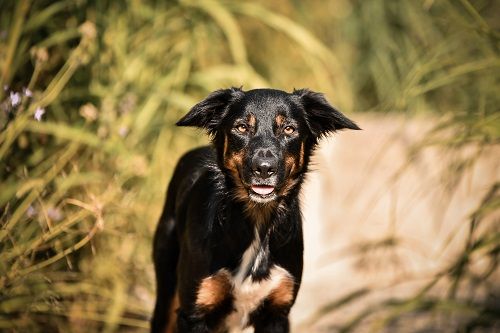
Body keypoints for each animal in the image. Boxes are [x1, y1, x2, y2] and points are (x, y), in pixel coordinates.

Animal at [150, 88, 358, 332]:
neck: (258, 221)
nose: (264, 169)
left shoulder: (277, 313)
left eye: (289, 129)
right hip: (166, 289)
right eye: (241, 127)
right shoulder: (194, 313)